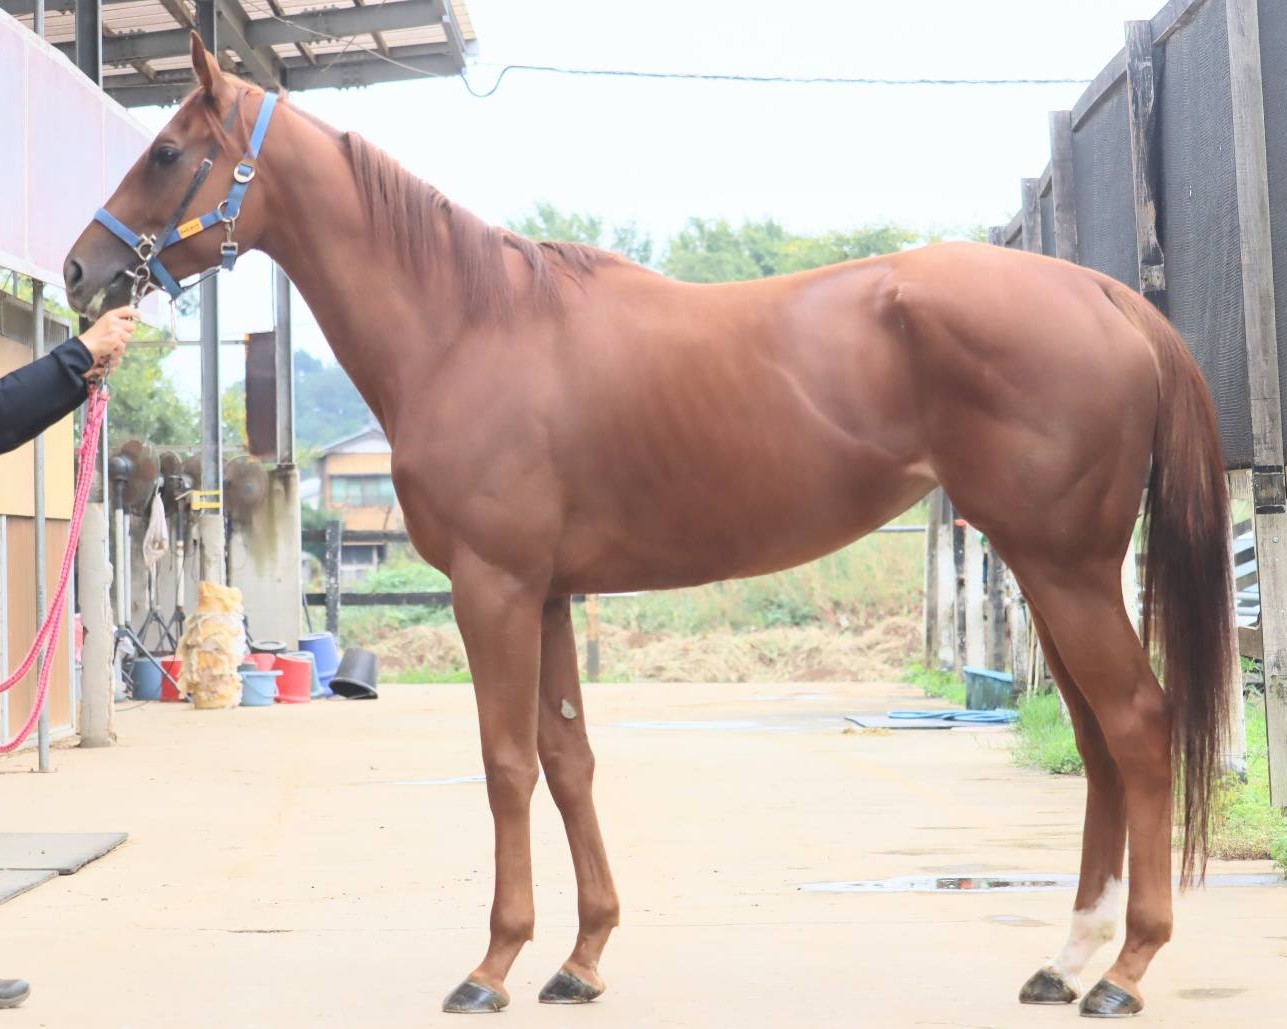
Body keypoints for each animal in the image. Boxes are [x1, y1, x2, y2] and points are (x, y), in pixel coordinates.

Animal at [64, 35, 1235, 1019]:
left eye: (167, 152)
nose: (80, 272)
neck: (468, 327)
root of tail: (1105, 295)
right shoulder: (545, 595)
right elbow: (567, 758)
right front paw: (580, 959)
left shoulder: (492, 588)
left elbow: (505, 762)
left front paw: (492, 965)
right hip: (1047, 567)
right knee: (1096, 736)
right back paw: (1067, 959)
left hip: (1066, 567)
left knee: (1136, 725)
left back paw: (1126, 969)